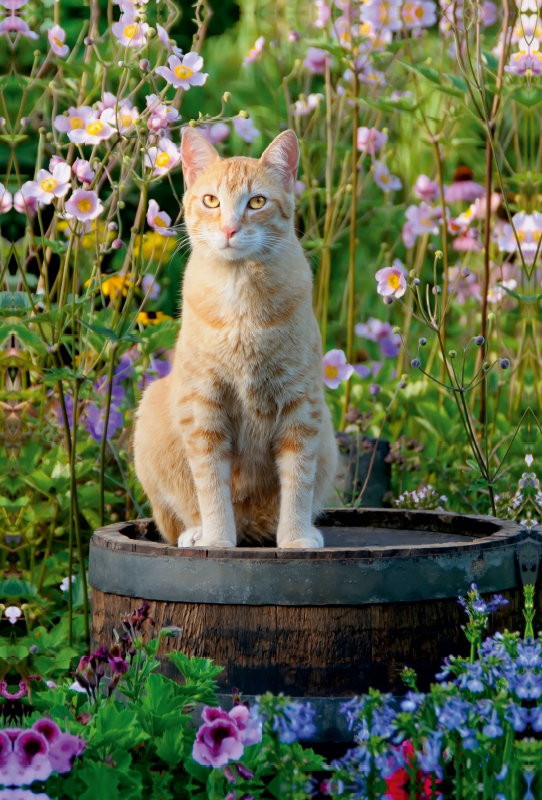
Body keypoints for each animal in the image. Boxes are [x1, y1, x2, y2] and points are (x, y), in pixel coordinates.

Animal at [134, 128, 338, 552]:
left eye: (256, 202)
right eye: (211, 200)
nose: (229, 229)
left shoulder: (301, 408)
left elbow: (299, 480)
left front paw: (294, 538)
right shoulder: (203, 409)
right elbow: (211, 486)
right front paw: (217, 540)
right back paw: (198, 533)